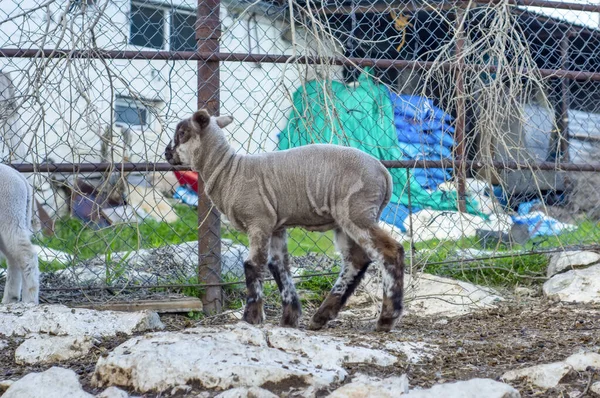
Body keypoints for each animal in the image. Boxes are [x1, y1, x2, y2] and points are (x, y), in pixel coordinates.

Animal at [165, 108, 404, 330]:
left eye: (182, 133)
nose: (167, 153)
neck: (229, 171)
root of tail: (385, 173)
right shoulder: (276, 226)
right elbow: (278, 267)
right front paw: (289, 318)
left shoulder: (258, 220)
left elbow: (253, 265)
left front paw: (251, 317)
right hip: (346, 219)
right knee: (356, 261)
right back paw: (321, 317)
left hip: (356, 210)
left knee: (390, 251)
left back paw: (386, 318)